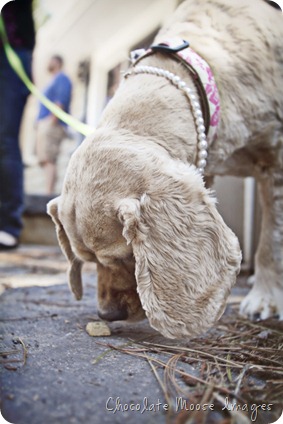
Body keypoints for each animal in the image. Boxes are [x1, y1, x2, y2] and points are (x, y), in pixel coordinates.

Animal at [47, 0, 282, 338]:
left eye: (129, 255)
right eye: (87, 260)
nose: (107, 314)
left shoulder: (274, 158)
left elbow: (271, 239)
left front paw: (266, 297)